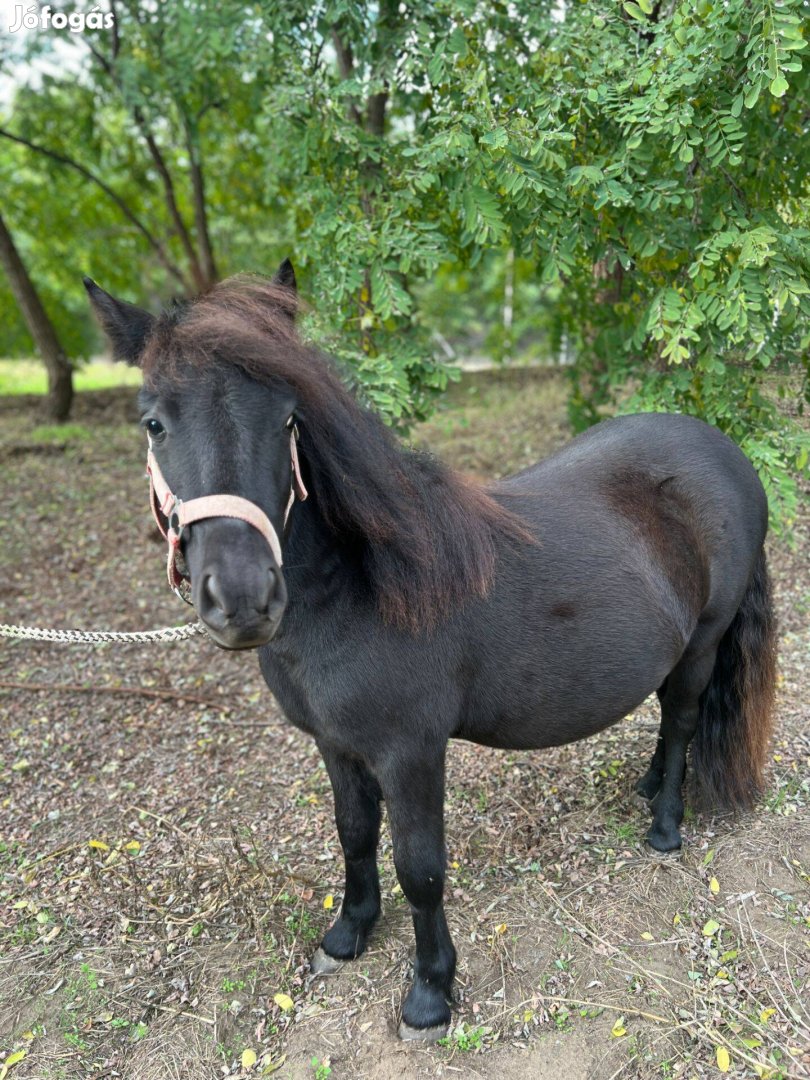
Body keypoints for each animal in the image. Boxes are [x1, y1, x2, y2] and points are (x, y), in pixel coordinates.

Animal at [85, 265, 777, 1041]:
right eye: (153, 422)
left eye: (288, 419)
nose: (241, 596)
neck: (361, 588)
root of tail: (726, 453)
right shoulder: (336, 746)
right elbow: (354, 834)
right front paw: (349, 933)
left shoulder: (410, 753)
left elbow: (420, 868)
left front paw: (430, 991)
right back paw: (650, 785)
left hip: (704, 642)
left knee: (682, 720)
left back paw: (665, 824)